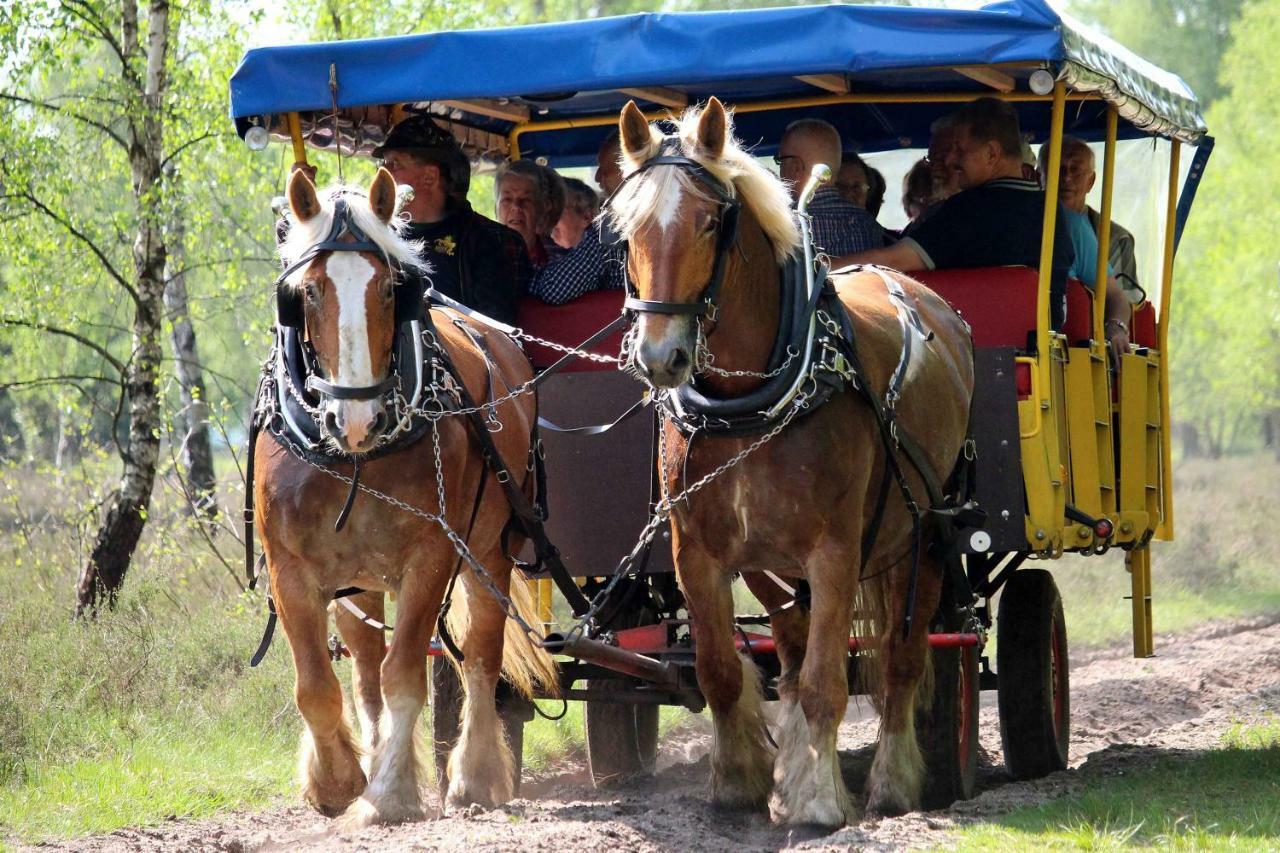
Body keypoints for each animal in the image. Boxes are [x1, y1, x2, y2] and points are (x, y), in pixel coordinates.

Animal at [257, 167, 558, 824]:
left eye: (391, 290)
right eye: (307, 293)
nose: (355, 417)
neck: (355, 458)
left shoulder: (430, 557)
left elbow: (406, 676)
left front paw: (390, 793)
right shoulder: (292, 569)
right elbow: (317, 685)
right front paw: (337, 781)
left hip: (488, 549)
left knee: (480, 656)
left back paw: (476, 774)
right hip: (357, 581)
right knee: (365, 671)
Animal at [614, 101, 972, 824]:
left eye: (708, 222)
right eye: (629, 228)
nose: (660, 356)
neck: (746, 404)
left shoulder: (835, 551)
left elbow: (827, 682)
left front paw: (819, 800)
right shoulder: (696, 552)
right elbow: (725, 672)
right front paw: (741, 782)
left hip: (922, 537)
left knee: (901, 657)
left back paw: (892, 782)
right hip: (776, 567)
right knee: (794, 642)